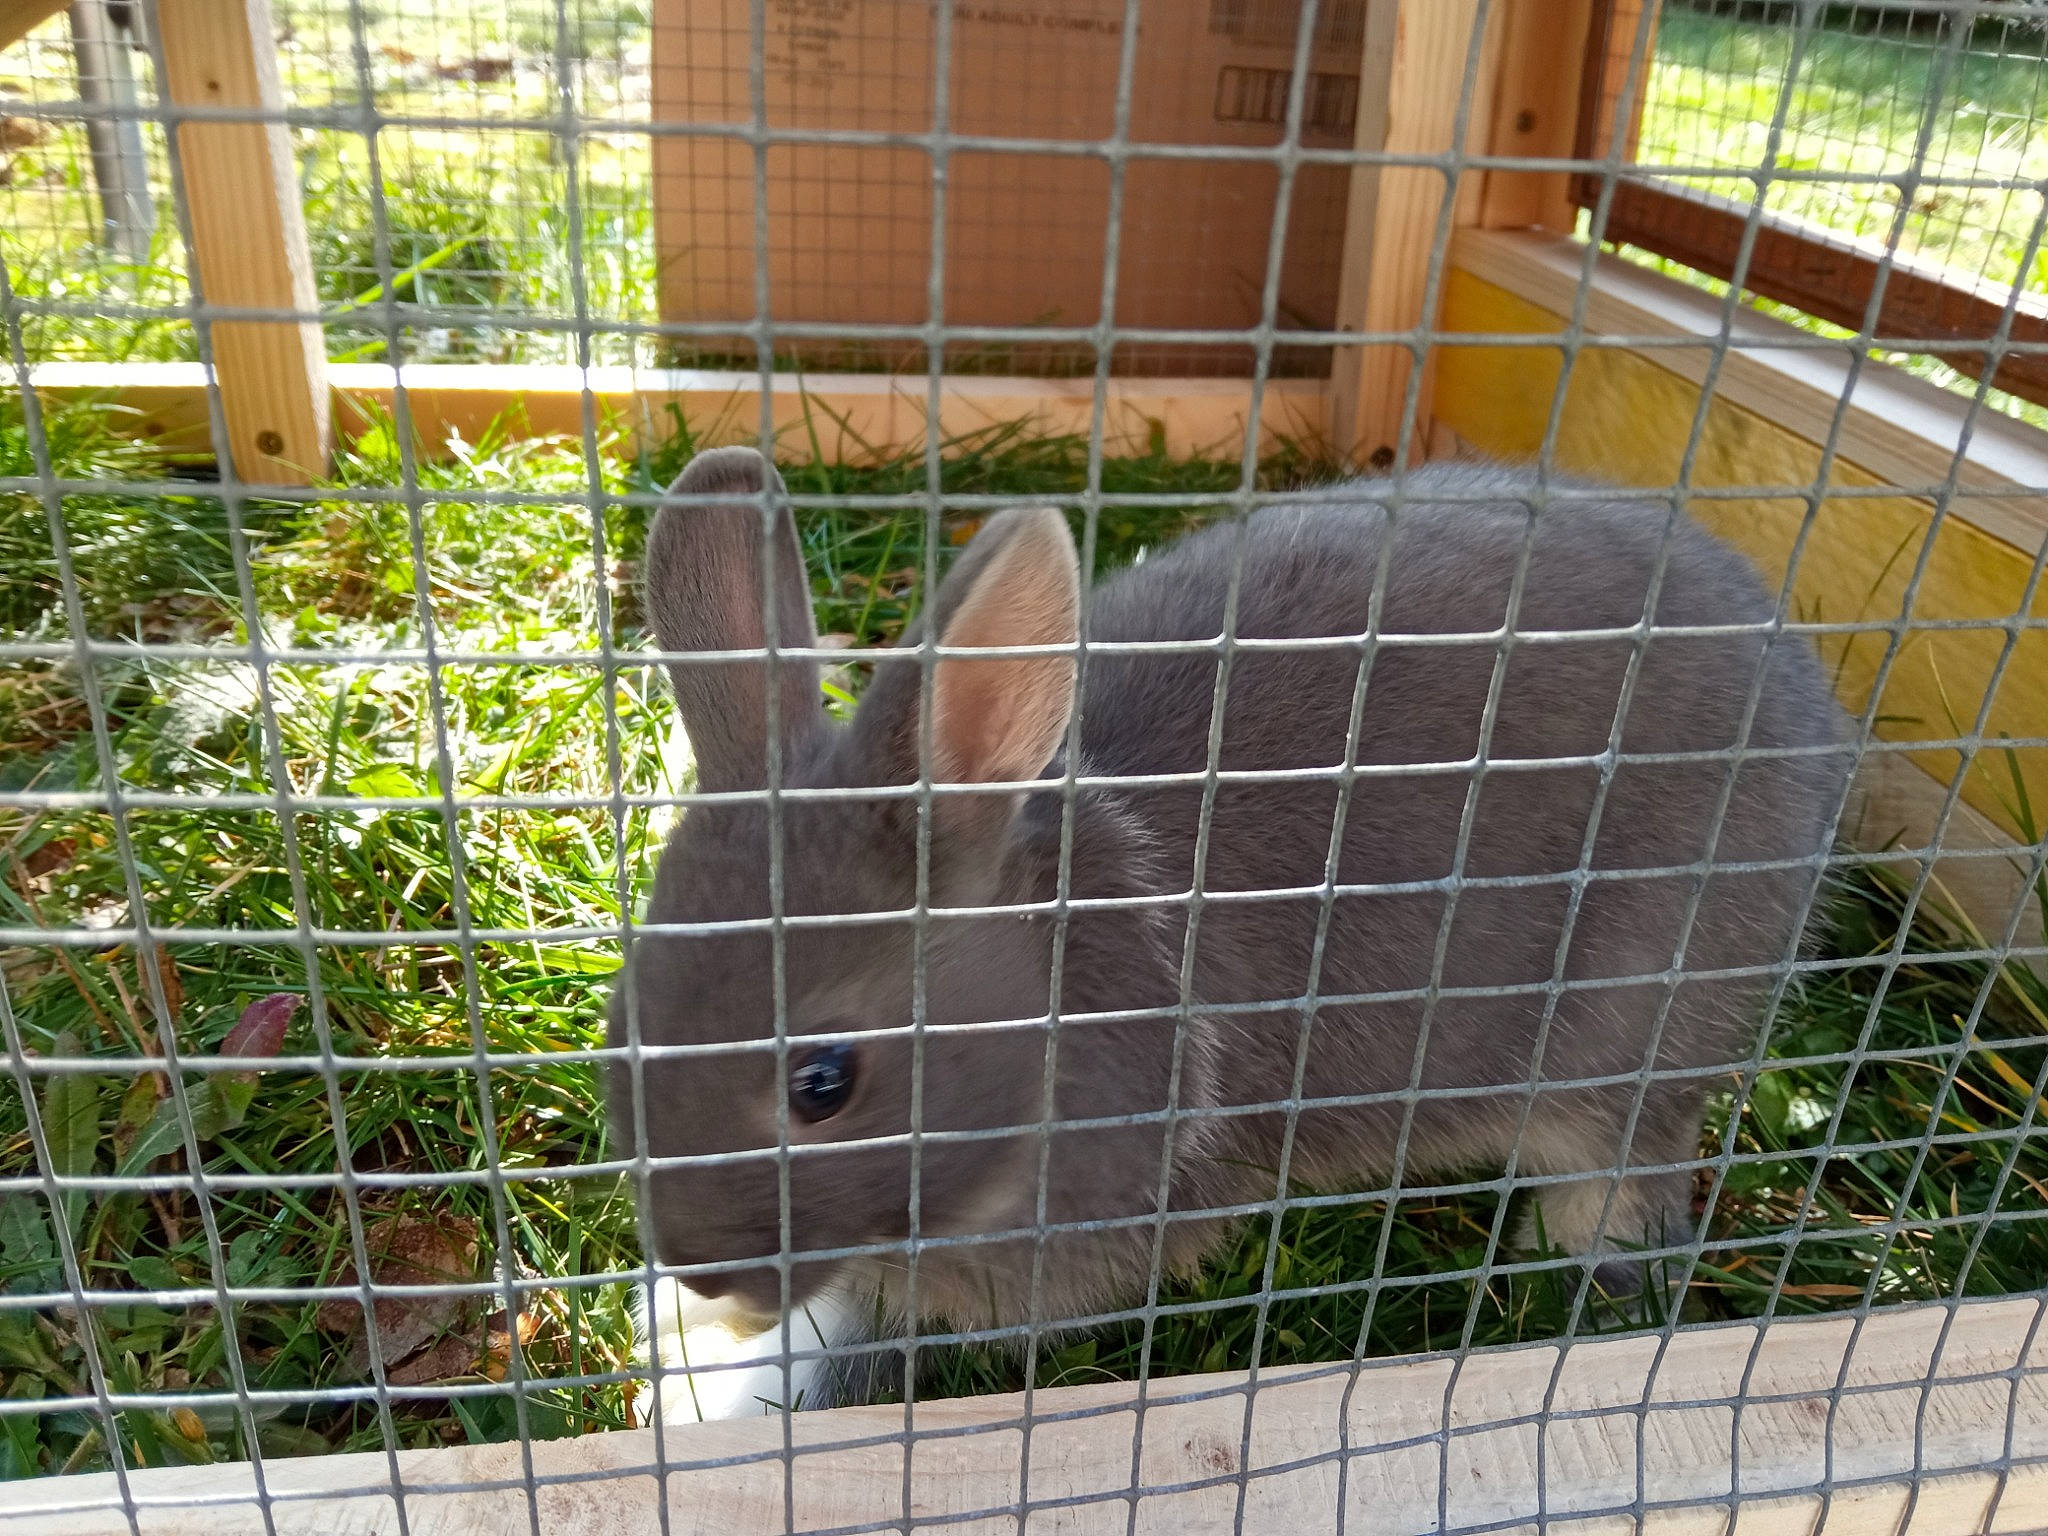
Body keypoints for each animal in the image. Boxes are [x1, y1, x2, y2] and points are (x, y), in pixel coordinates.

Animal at [611, 445, 1851, 1419]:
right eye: (627, 1020)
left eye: (823, 1084)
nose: (696, 1267)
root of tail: (1812, 712)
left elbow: (854, 1321)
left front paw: (725, 1394)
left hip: (1630, 1029)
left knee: (1625, 1171)